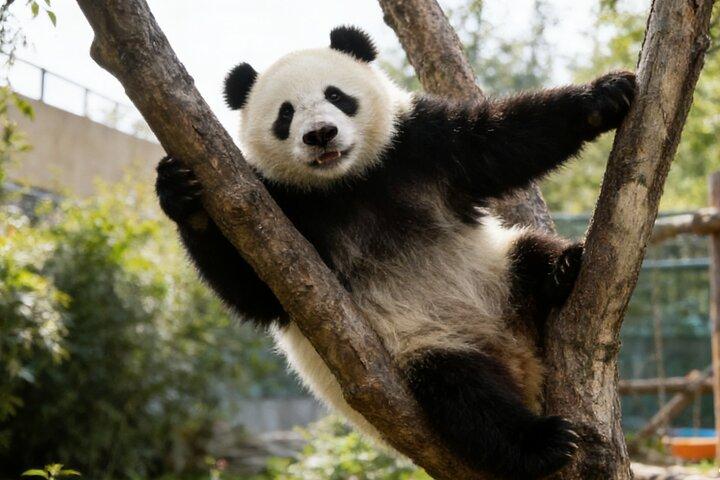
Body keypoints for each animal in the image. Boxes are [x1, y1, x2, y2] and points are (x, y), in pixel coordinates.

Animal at [156, 26, 636, 480]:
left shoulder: (417, 145)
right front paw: (182, 194)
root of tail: (520, 362)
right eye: (285, 113)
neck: (347, 183)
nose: (320, 134)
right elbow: (254, 293)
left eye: (336, 95)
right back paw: (542, 441)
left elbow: (499, 141)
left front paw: (606, 94)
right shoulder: (280, 207)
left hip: (498, 270)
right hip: (424, 343)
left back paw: (562, 269)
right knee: (462, 393)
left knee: (528, 254)